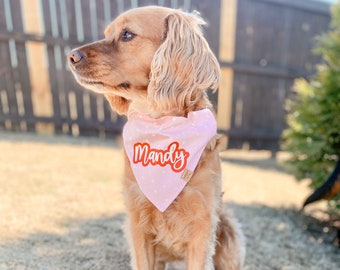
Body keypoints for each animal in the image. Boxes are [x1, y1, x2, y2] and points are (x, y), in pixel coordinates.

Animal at [67, 6, 246, 270]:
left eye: (127, 34)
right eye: (107, 33)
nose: (71, 56)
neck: (161, 125)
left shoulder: (202, 226)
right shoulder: (137, 222)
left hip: (230, 235)